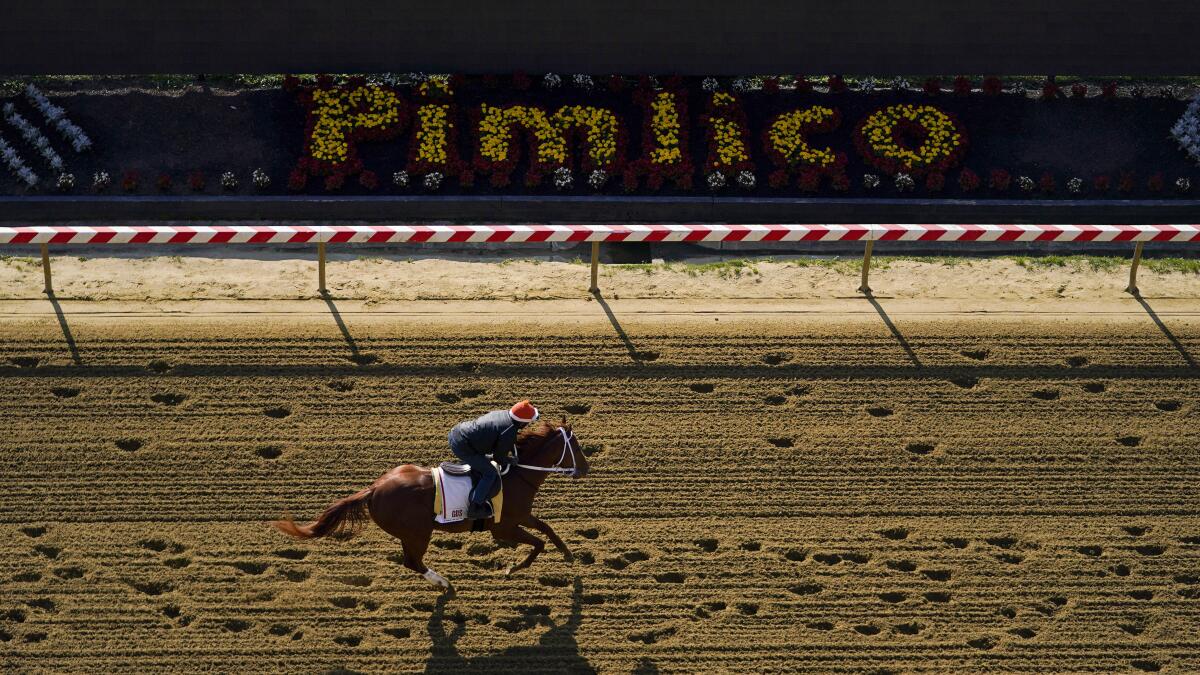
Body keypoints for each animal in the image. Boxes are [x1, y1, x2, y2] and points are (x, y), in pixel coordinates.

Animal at [271, 415, 590, 593]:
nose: (585, 468)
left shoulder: (520, 516)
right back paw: (444, 584)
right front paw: (513, 568)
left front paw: (568, 554)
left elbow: (548, 530)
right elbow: (538, 544)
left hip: (410, 532)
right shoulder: (503, 528)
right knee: (413, 562)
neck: (517, 474)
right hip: (418, 532)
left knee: (410, 561)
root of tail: (373, 489)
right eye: (575, 446)